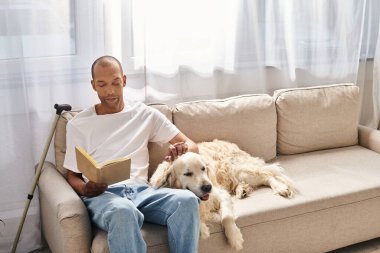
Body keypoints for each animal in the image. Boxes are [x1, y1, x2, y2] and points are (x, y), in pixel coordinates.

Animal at [150, 139, 296, 250]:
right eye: (187, 173)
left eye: (203, 168)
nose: (208, 187)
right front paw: (202, 229)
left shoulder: (219, 193)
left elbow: (227, 217)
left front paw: (234, 237)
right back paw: (242, 190)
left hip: (239, 170)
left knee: (267, 176)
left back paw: (280, 187)